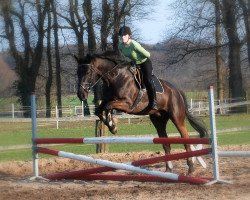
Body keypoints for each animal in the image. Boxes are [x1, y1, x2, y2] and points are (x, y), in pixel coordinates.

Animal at [75, 52, 208, 175]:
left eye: (87, 72)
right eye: (77, 73)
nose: (81, 94)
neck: (114, 77)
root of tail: (177, 90)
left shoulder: (127, 104)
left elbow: (108, 107)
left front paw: (112, 125)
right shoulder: (108, 100)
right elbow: (99, 110)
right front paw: (112, 125)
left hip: (176, 117)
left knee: (185, 139)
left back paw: (190, 169)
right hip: (158, 120)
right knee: (166, 144)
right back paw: (168, 170)